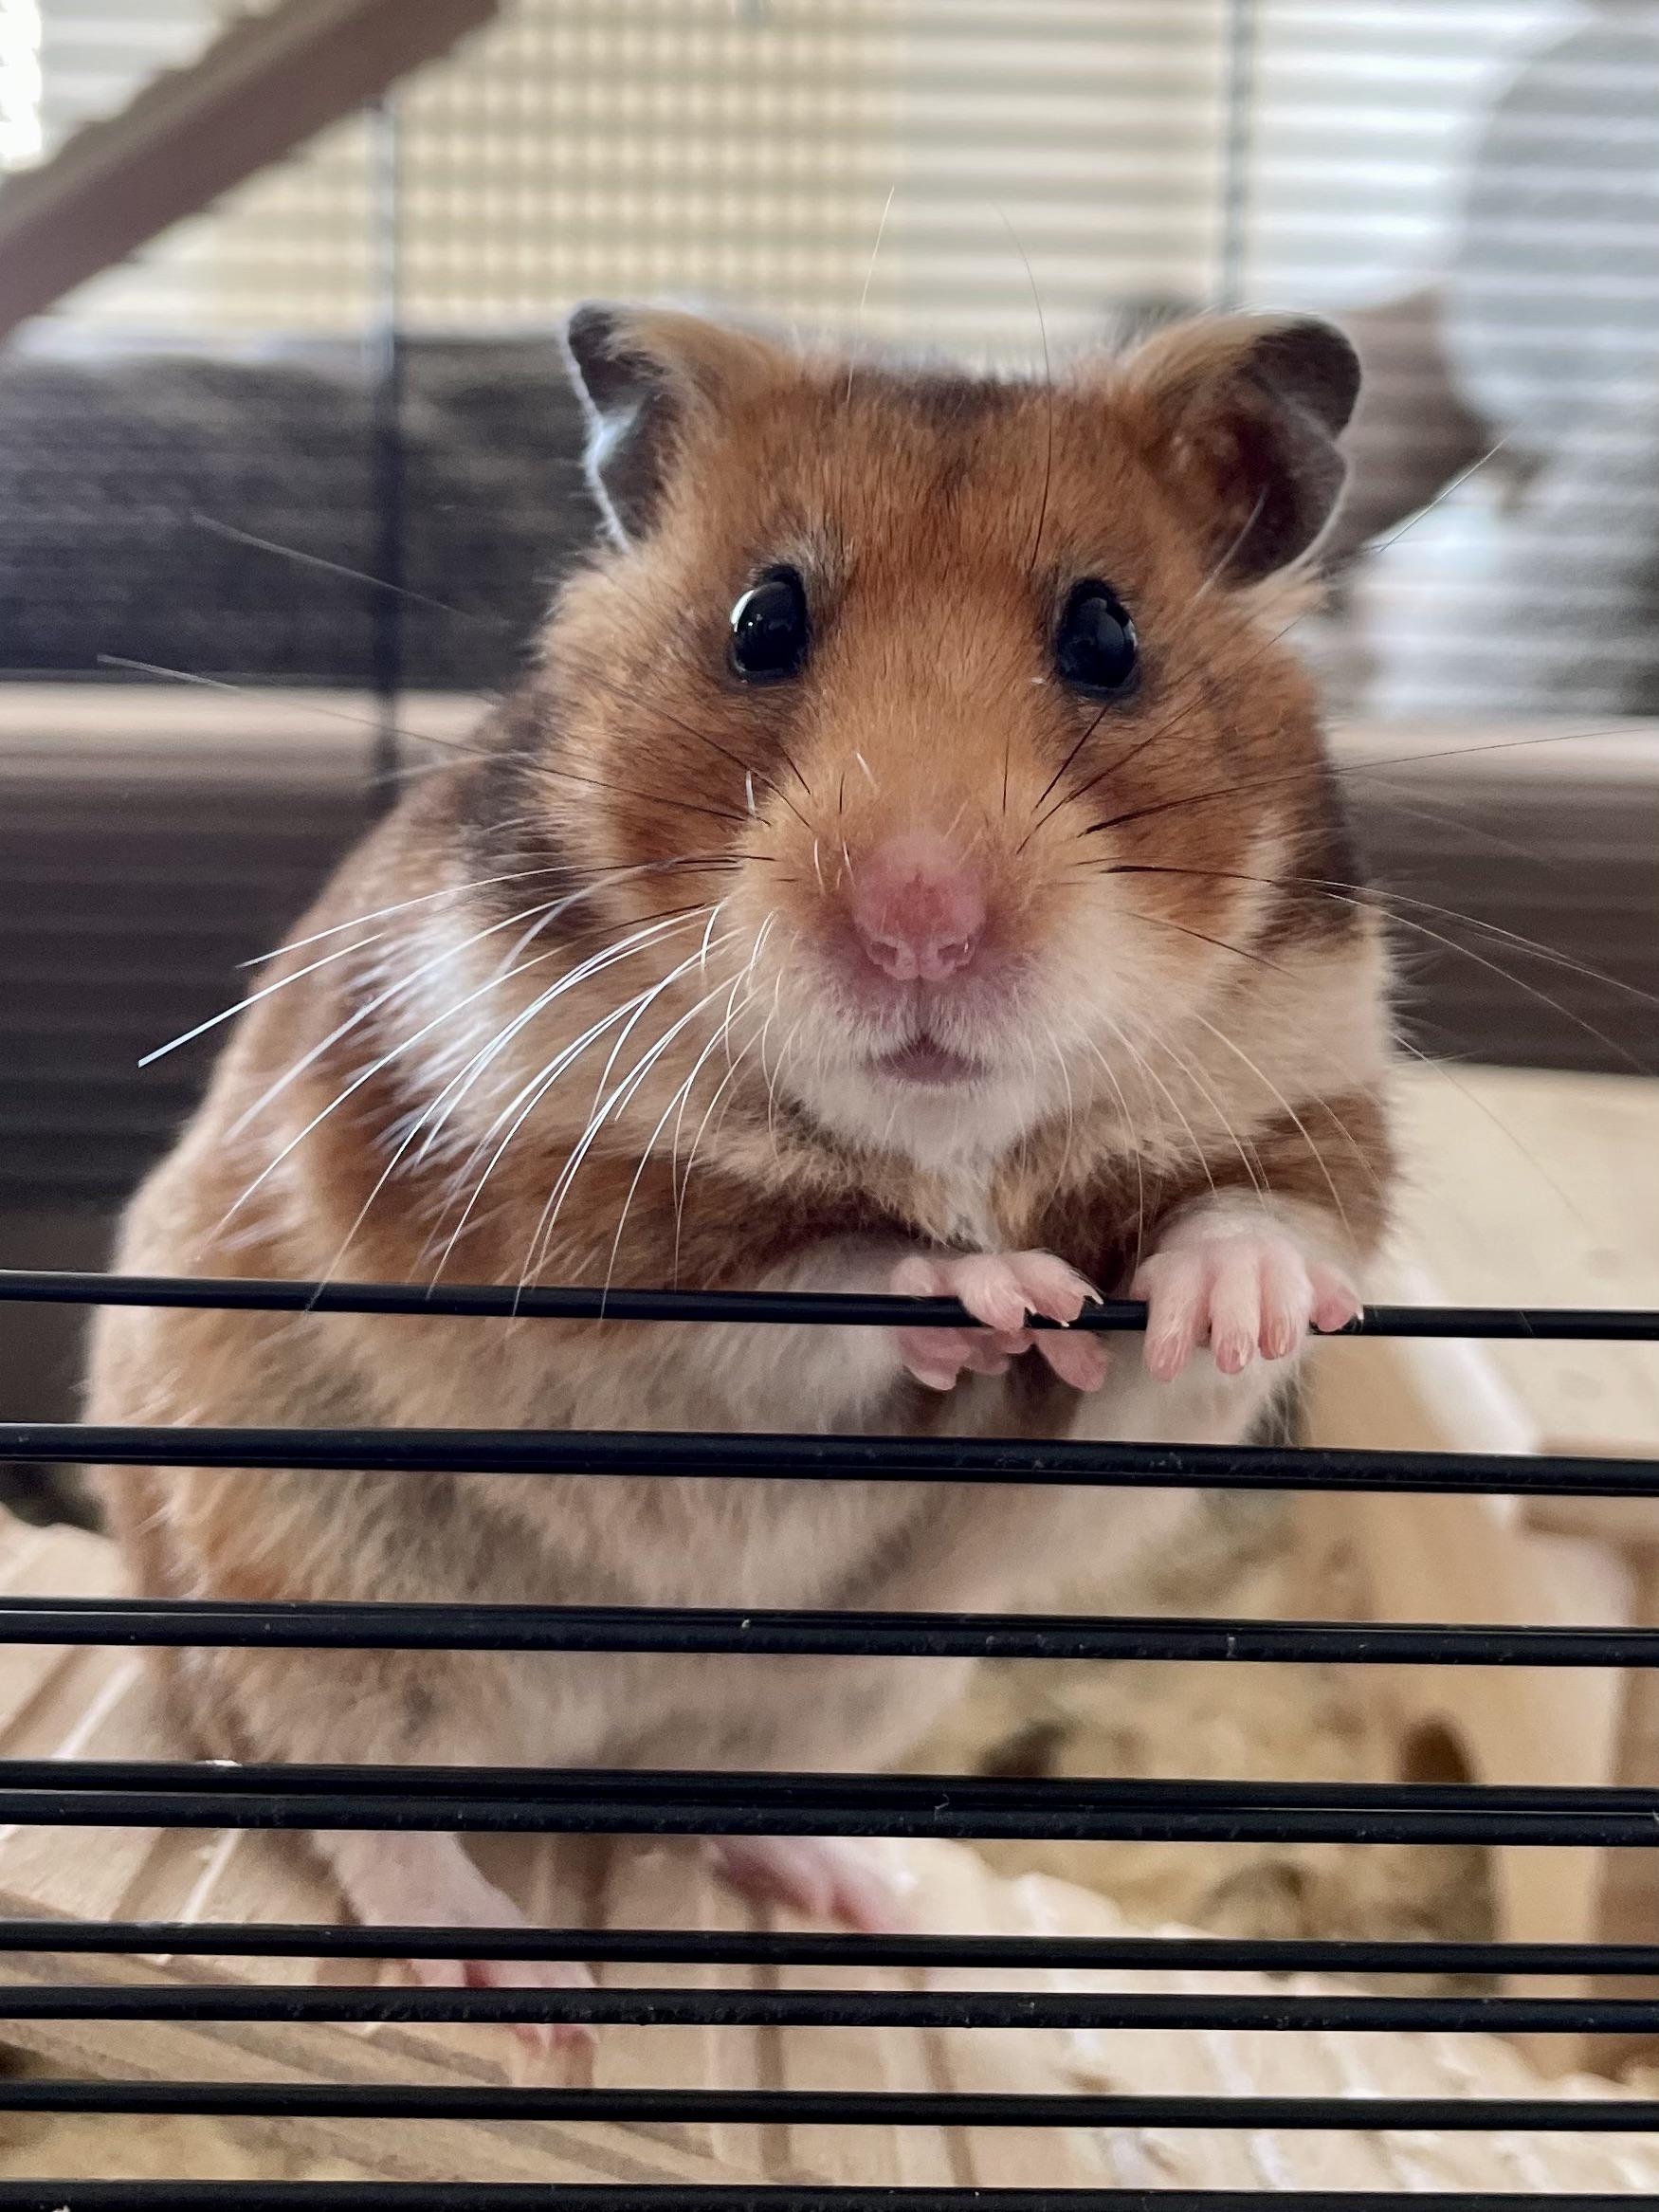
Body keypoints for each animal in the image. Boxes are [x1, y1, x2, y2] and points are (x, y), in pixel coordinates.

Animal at [87, 304, 1394, 2016]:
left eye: (1107, 635)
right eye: (762, 621)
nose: (919, 922)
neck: (949, 1144)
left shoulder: (1312, 1102)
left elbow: (1252, 1240)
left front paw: (1213, 1303)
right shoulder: (565, 1223)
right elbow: (805, 1289)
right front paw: (1003, 1291)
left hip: (842, 1693)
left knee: (715, 1795)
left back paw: (854, 1893)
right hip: (309, 1592)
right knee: (353, 1796)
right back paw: (515, 1982)